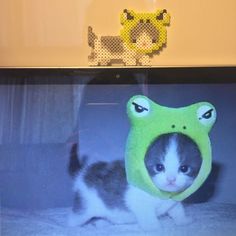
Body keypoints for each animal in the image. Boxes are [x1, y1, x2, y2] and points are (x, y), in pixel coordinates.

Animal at [68, 134, 201, 231]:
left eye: (184, 168)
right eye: (159, 167)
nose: (171, 179)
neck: (161, 194)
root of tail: (84, 171)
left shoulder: (173, 201)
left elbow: (177, 210)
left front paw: (183, 221)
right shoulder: (139, 202)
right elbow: (149, 218)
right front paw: (155, 228)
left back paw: (102, 223)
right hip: (85, 205)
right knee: (74, 218)